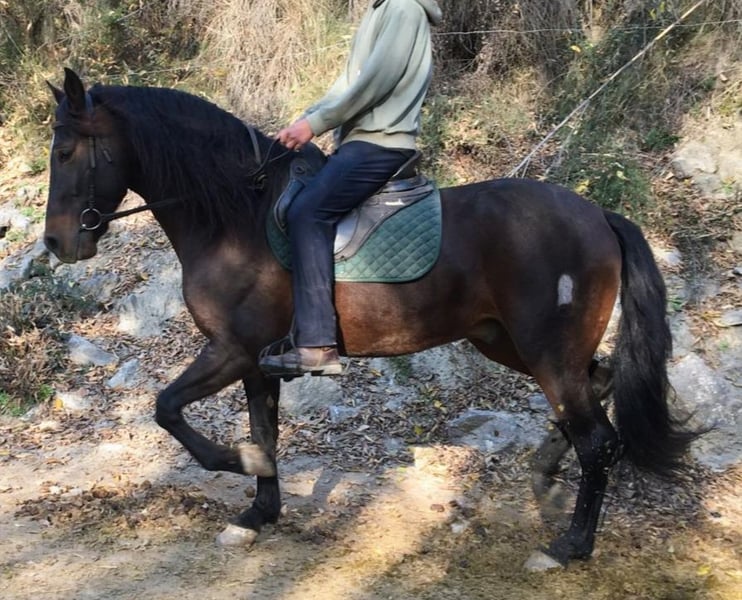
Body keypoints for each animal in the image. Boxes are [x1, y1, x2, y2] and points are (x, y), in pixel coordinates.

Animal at [43, 67, 697, 567]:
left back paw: (569, 545)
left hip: (545, 353)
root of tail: (597, 214)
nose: (55, 244)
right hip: (506, 342)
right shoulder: (256, 362)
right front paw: (259, 512)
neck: (234, 217)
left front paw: (244, 467)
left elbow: (168, 409)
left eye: (67, 151)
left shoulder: (231, 349)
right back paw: (545, 468)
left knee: (600, 442)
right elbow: (261, 427)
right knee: (599, 383)